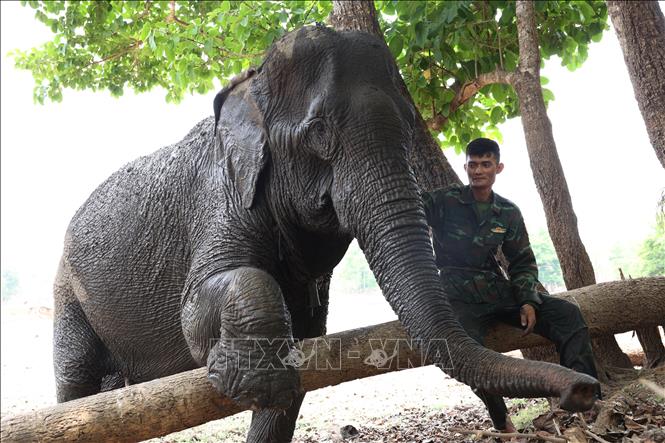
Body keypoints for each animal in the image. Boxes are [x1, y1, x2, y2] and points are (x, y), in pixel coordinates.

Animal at [53, 25, 598, 442]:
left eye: (410, 126)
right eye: (318, 133)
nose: (583, 389)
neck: (252, 82)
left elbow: (302, 356)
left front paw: (267, 387)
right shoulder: (220, 199)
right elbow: (198, 311)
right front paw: (250, 381)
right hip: (66, 289)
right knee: (74, 383)